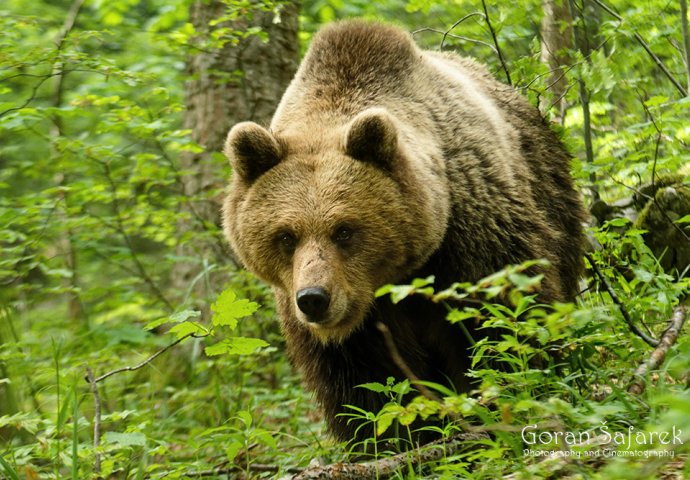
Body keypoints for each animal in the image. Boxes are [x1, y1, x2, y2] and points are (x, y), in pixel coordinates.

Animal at [223, 18, 584, 446]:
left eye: (344, 230)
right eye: (286, 236)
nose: (314, 298)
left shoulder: (472, 232)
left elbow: (501, 319)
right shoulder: (348, 323)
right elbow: (365, 382)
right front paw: (389, 439)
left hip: (550, 190)